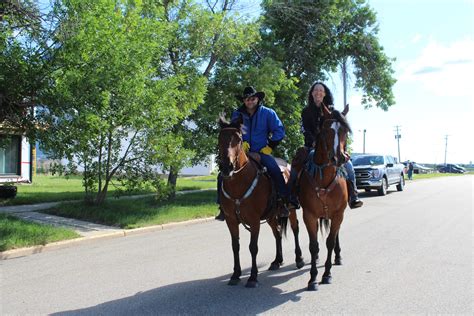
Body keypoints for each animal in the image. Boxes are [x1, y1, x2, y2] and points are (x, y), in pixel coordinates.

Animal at [218, 115, 304, 286]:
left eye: (239, 139)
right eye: (219, 138)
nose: (226, 167)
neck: (238, 183)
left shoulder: (254, 220)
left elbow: (253, 247)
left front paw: (252, 277)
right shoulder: (231, 220)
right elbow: (235, 246)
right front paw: (236, 274)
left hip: (290, 210)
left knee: (295, 229)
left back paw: (299, 259)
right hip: (271, 216)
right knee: (277, 233)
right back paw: (277, 261)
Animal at [300, 104, 352, 292]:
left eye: (345, 130)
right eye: (326, 130)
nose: (339, 158)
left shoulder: (338, 214)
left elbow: (330, 241)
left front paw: (327, 274)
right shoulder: (309, 215)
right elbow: (313, 246)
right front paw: (313, 278)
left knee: (335, 236)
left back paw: (338, 257)